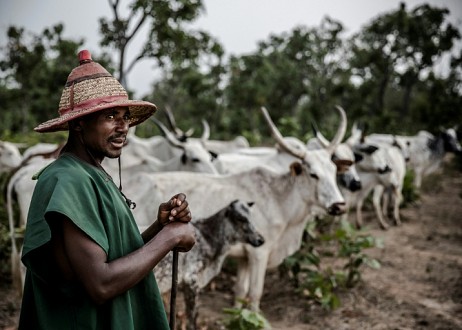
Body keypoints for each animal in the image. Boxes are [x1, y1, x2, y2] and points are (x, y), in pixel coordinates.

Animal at [126, 106, 346, 310]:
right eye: (313, 174)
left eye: (334, 169)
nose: (339, 205)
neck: (279, 197)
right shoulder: (259, 253)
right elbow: (255, 294)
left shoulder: (245, 257)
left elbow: (240, 291)